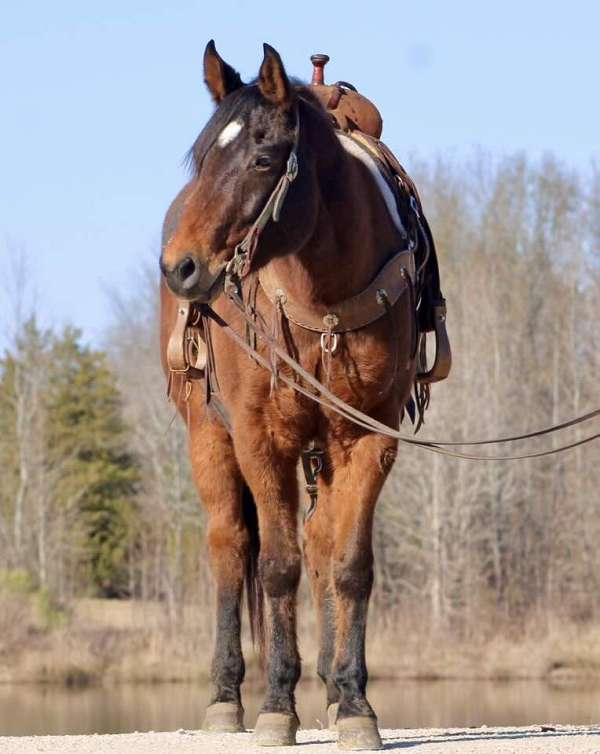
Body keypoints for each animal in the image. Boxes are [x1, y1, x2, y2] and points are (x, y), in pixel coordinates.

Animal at [161, 39, 422, 748]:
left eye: (261, 158)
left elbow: (348, 564)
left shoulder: (367, 437)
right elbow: (277, 566)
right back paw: (226, 697)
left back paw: (330, 690)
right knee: (231, 547)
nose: (179, 266)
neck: (321, 295)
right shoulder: (260, 437)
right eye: (201, 158)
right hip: (208, 436)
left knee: (322, 543)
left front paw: (354, 704)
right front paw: (278, 704)